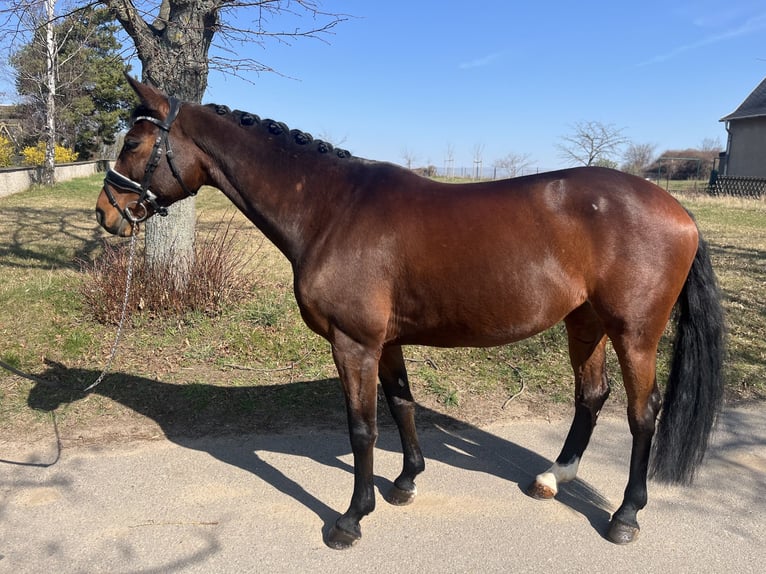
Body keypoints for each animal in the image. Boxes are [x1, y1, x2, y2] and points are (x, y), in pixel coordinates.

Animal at [95, 77, 725, 549]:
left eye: (132, 143)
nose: (105, 213)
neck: (331, 209)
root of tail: (678, 209)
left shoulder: (353, 343)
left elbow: (362, 426)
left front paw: (352, 518)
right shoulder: (386, 341)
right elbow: (401, 406)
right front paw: (404, 483)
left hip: (634, 334)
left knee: (642, 415)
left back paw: (626, 516)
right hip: (584, 322)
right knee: (591, 397)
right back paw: (553, 477)